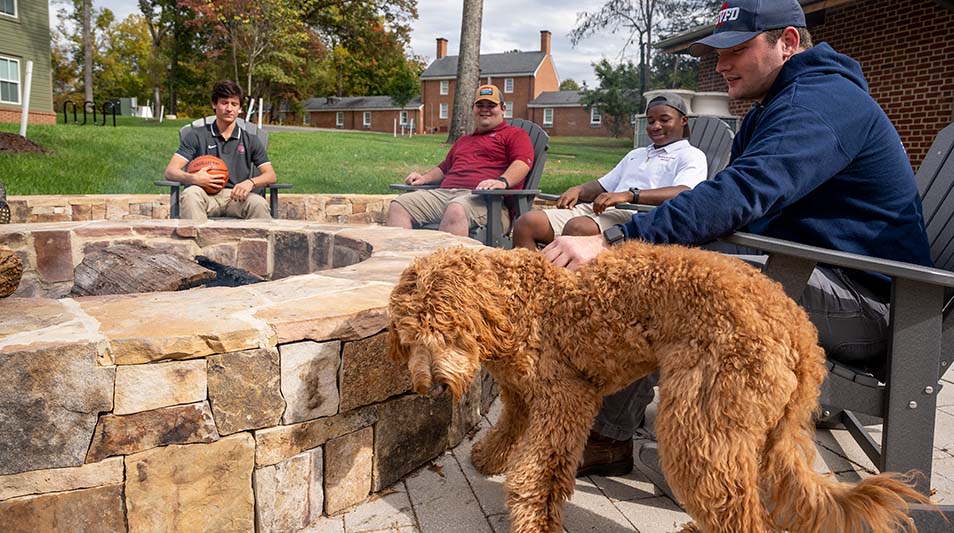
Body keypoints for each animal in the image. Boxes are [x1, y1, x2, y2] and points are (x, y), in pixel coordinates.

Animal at [386, 242, 928, 532]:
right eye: (409, 338)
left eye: (447, 332)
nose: (431, 388)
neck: (522, 304)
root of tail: (799, 330)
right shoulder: (522, 395)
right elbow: (508, 429)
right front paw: (487, 457)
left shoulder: (566, 398)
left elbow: (537, 475)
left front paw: (534, 516)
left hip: (699, 426)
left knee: (743, 514)